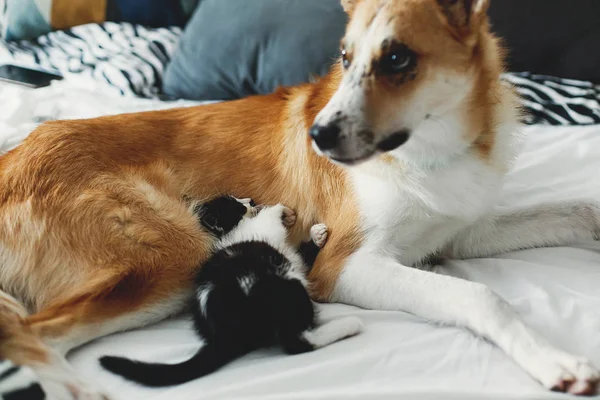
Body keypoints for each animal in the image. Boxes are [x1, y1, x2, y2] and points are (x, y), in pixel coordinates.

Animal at [100, 197, 360, 388]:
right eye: (235, 204)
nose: (250, 199)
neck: (230, 234)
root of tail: (226, 329)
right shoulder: (260, 232)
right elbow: (268, 220)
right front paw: (280, 211)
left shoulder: (292, 256)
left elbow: (303, 255)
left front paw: (317, 234)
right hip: (278, 282)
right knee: (296, 341)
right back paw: (349, 325)